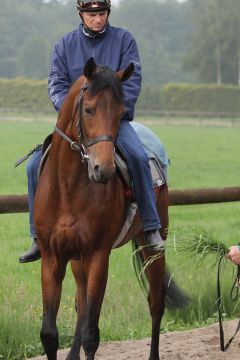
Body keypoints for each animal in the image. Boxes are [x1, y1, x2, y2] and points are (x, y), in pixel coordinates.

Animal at [34, 57, 188, 358]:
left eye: (120, 113)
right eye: (89, 109)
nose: (102, 169)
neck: (69, 189)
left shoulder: (97, 256)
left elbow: (91, 334)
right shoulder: (52, 258)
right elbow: (50, 333)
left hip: (152, 246)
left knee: (156, 303)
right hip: (77, 260)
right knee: (81, 304)